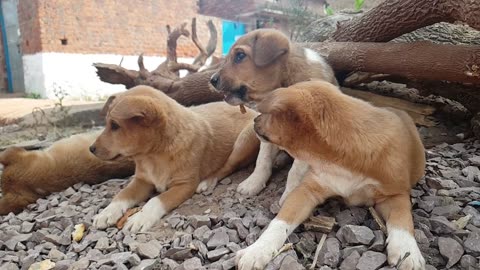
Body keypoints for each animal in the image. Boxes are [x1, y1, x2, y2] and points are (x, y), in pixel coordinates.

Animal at [92, 86, 260, 232]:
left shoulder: (184, 185)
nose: (91, 149)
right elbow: (122, 194)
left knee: (228, 166)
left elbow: (156, 200)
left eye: (115, 125)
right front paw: (106, 213)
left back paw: (206, 182)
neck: (153, 156)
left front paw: (140, 218)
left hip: (243, 142)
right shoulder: (142, 180)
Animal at [210, 29, 338, 202]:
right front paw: (253, 183)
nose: (212, 80)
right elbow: (262, 160)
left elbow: (295, 171)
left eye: (240, 55)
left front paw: (289, 196)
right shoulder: (264, 128)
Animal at [237, 80, 428, 270]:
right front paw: (256, 250)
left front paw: (407, 251)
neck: (339, 161)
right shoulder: (307, 190)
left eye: (269, 114)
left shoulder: (396, 194)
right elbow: (279, 222)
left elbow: (402, 219)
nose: (254, 119)